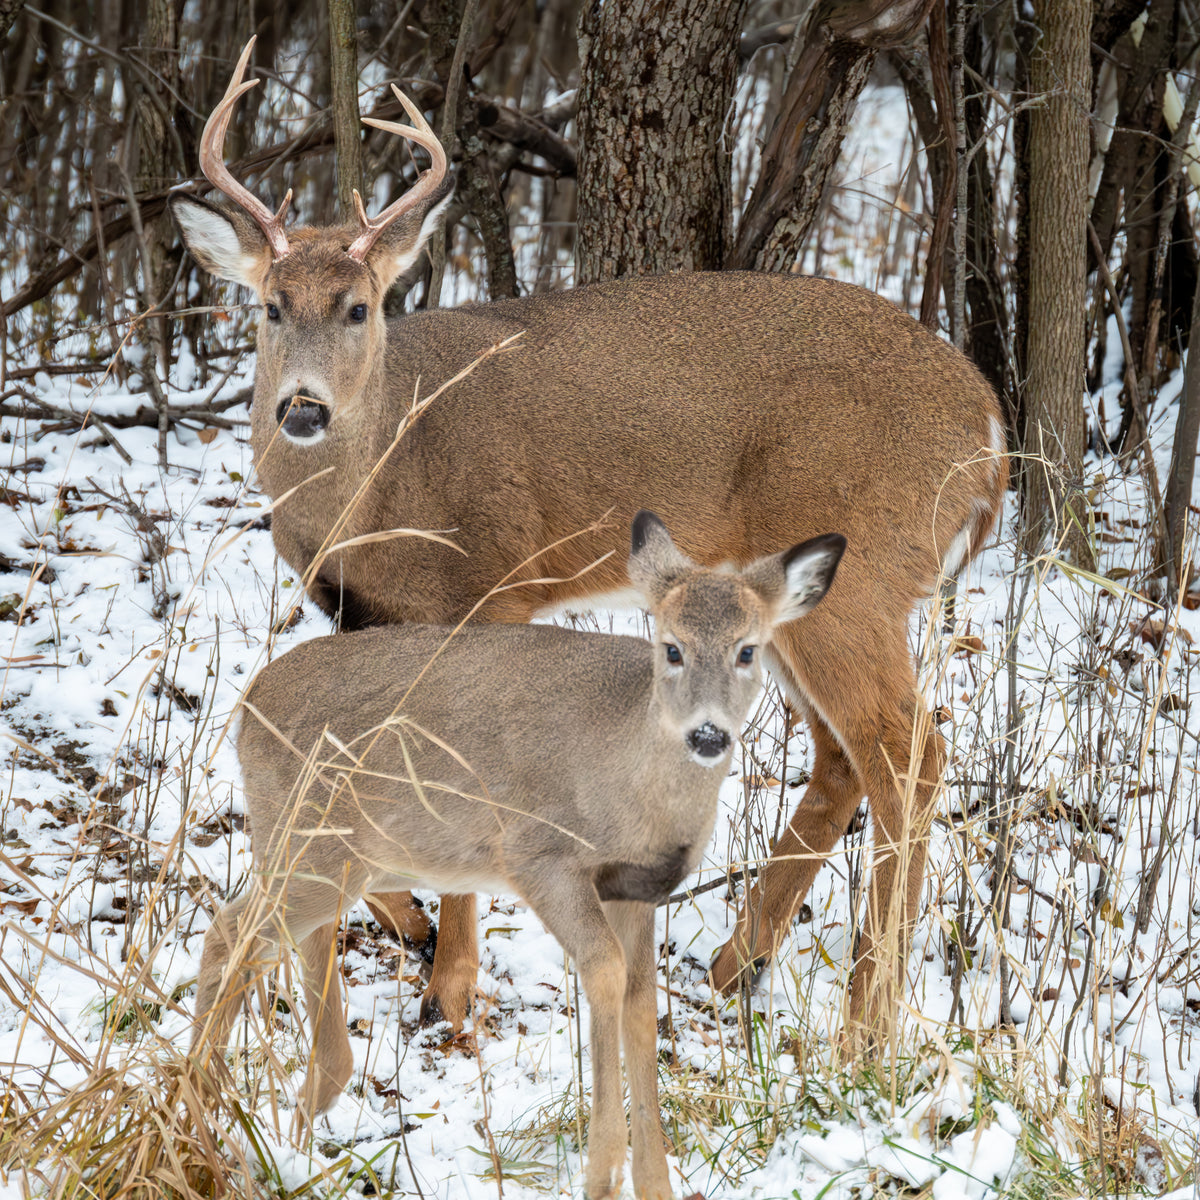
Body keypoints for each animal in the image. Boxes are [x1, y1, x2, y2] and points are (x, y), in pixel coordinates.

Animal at [171, 40, 1008, 1045]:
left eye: (360, 308)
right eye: (268, 305)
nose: (302, 407)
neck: (382, 490)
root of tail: (990, 432)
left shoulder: (493, 584)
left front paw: (450, 988)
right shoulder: (359, 610)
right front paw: (405, 919)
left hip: (864, 579)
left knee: (908, 755)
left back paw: (865, 1021)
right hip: (795, 597)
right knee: (846, 755)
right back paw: (737, 965)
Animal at [192, 511, 845, 1200]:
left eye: (749, 650)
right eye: (671, 647)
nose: (709, 733)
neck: (633, 777)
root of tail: (246, 708)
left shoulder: (638, 889)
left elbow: (641, 1001)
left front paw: (651, 1182)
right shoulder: (541, 856)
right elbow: (605, 973)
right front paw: (603, 1170)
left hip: (320, 854)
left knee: (289, 948)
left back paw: (287, 1128)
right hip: (312, 849)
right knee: (228, 933)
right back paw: (197, 1116)